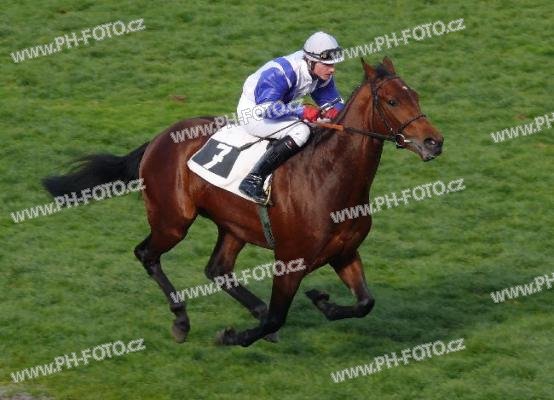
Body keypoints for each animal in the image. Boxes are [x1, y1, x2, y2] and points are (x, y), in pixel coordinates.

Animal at [43, 57, 444, 347]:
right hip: (172, 221)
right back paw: (182, 320)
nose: (434, 142)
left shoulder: (345, 253)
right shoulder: (290, 261)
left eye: (416, 95)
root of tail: (158, 139)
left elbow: (364, 303)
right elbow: (278, 315)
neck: (330, 178)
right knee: (147, 255)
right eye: (392, 100)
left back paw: (250, 308)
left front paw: (322, 301)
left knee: (217, 269)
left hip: (232, 227)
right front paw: (233, 335)